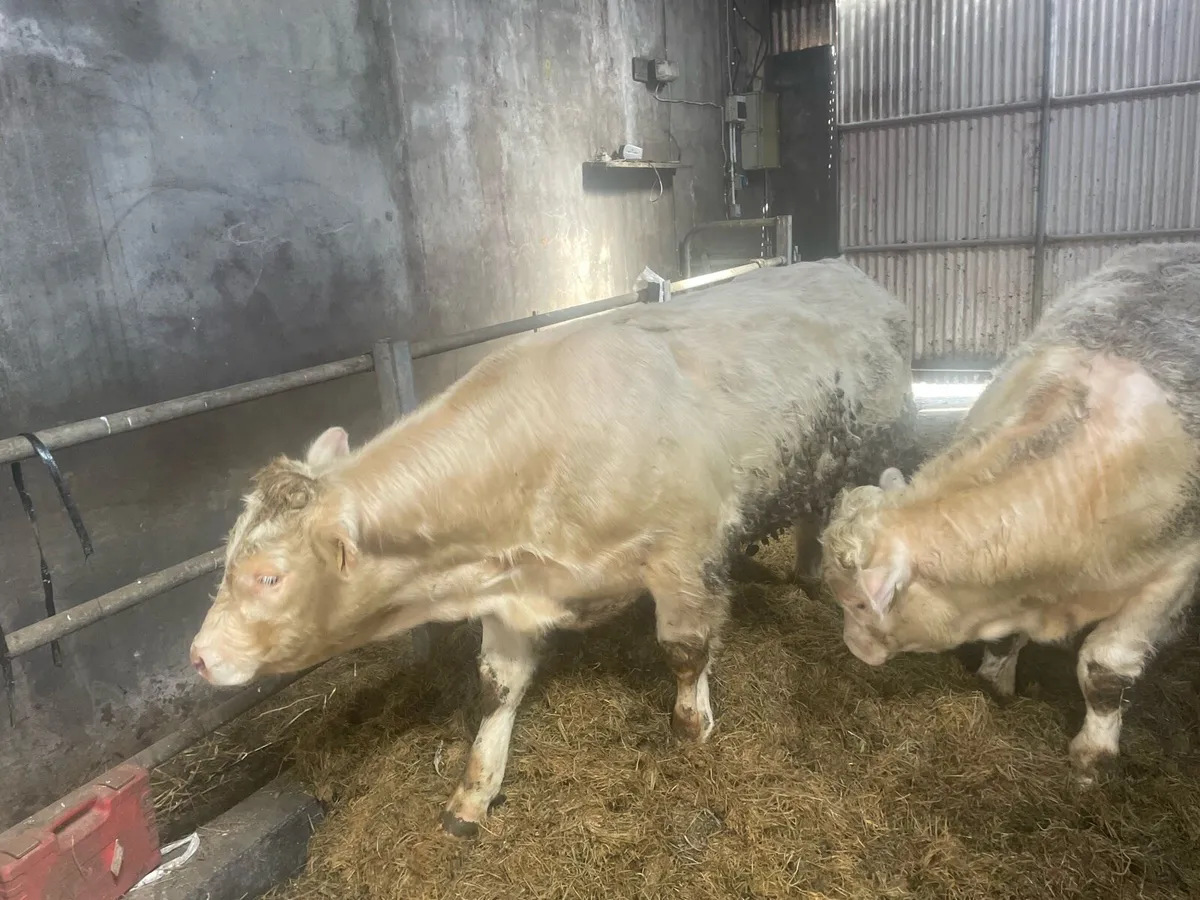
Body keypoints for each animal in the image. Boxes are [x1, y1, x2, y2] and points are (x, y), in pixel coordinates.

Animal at [189, 259, 917, 835]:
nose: (198, 657)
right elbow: (496, 687)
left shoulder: (685, 554)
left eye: (268, 576)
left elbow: (685, 653)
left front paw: (693, 731)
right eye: (227, 558)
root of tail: (846, 271)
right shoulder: (507, 586)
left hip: (869, 449)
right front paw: (473, 794)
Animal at [820, 242, 1200, 785]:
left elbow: (1105, 669)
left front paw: (1092, 755)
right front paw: (993, 684)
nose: (853, 647)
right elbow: (1002, 643)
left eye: (856, 604)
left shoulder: (1174, 572)